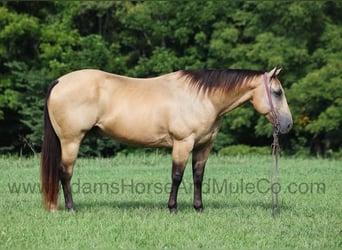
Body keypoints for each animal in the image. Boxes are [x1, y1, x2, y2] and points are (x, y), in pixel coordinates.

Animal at [40, 67, 292, 213]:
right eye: (277, 92)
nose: (288, 125)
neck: (201, 97)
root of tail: (59, 81)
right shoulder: (183, 143)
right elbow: (177, 176)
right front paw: (172, 208)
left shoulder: (204, 145)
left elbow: (198, 176)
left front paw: (199, 208)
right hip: (71, 140)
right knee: (65, 172)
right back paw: (71, 208)